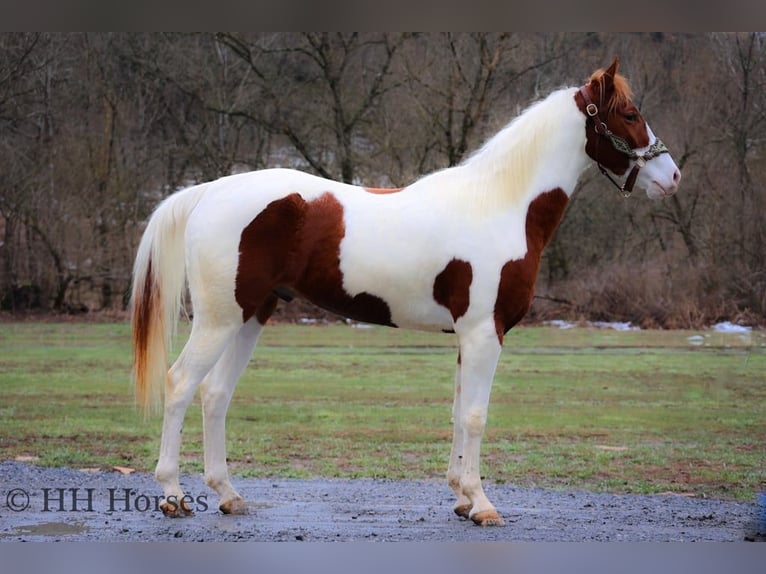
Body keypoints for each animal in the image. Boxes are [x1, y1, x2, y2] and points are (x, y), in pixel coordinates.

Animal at [131, 57, 681, 527]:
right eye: (630, 114)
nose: (672, 176)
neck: (501, 205)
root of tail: (210, 191)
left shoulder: (468, 337)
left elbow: (458, 412)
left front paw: (461, 498)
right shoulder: (485, 333)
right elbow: (476, 416)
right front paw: (482, 504)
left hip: (252, 315)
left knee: (215, 394)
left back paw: (228, 495)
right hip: (220, 319)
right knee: (181, 384)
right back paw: (173, 496)